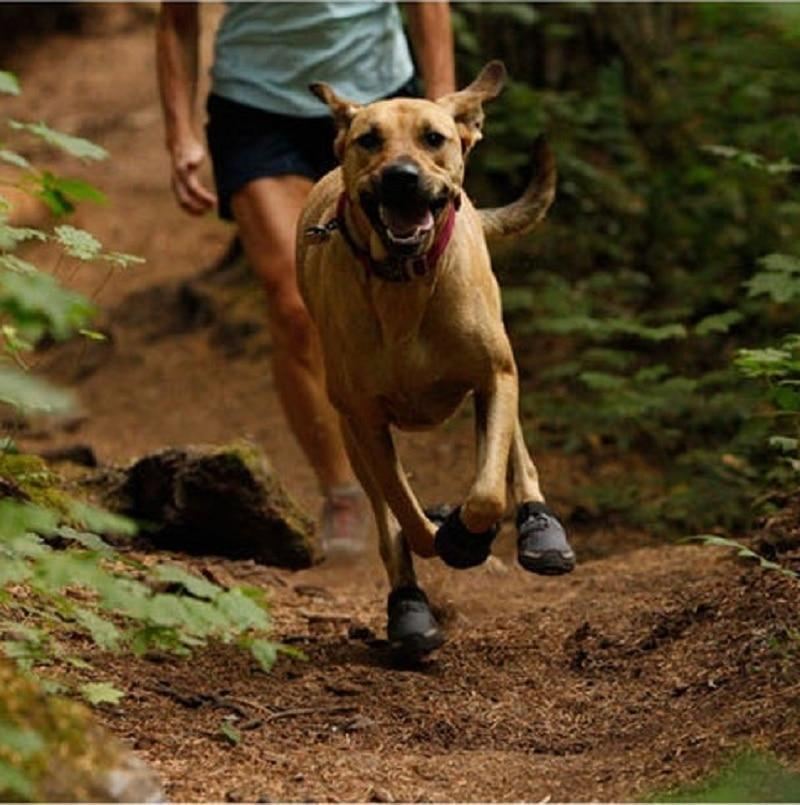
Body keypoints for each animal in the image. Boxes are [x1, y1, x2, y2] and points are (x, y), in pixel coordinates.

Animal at [300, 59, 576, 656]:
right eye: (369, 139)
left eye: (434, 138)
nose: (401, 176)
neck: (405, 284)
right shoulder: (365, 421)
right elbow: (406, 516)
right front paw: (445, 536)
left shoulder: (493, 378)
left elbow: (487, 494)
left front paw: (470, 532)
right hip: (352, 432)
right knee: (388, 519)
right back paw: (411, 608)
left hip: (500, 362)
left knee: (516, 450)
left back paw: (539, 528)